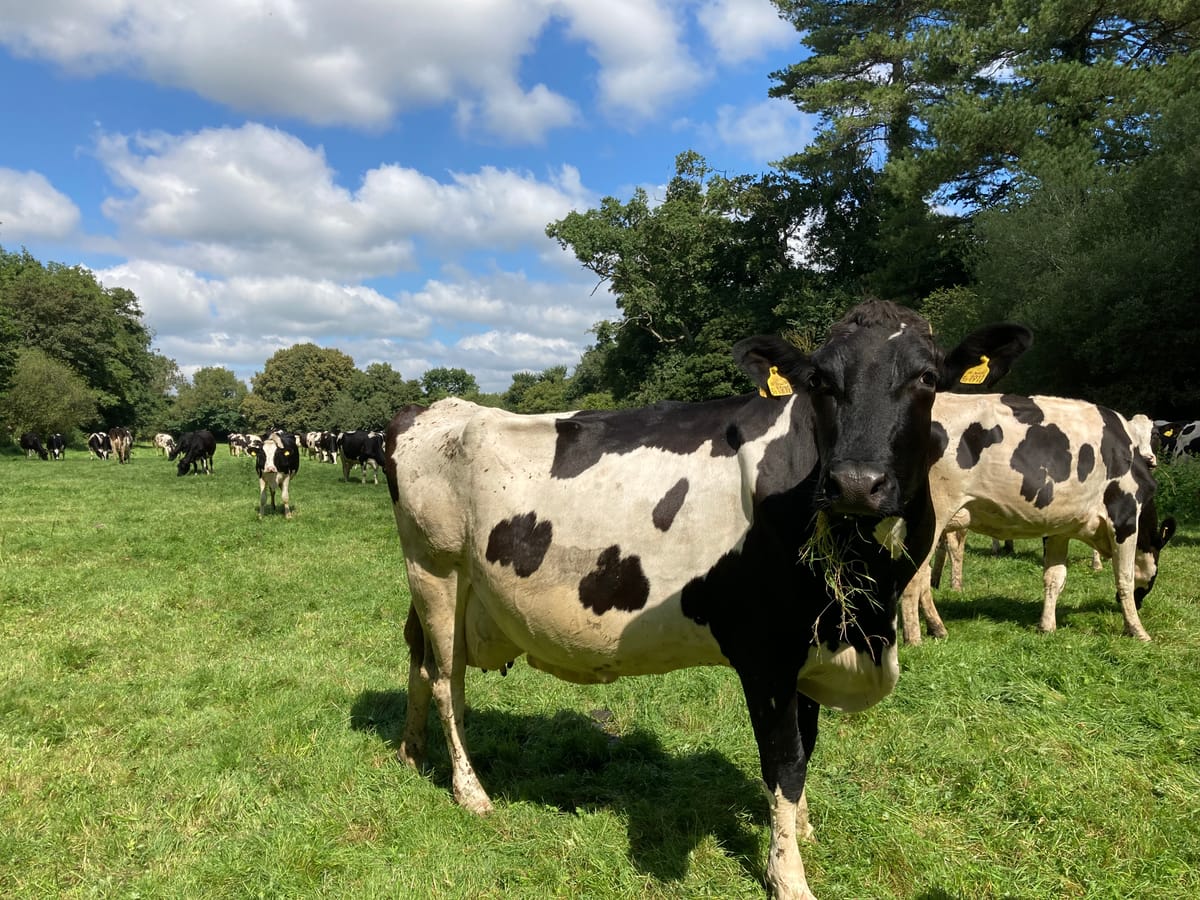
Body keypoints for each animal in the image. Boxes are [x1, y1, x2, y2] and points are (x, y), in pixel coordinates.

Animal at [384, 301, 1032, 900]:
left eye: (927, 377)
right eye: (821, 380)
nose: (856, 483)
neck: (867, 617)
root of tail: (436, 408)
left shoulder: (807, 649)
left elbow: (807, 748)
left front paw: (801, 829)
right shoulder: (766, 655)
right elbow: (784, 760)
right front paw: (788, 875)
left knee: (419, 661)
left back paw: (411, 752)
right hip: (437, 570)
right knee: (447, 681)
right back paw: (471, 791)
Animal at [901, 394, 1176, 645]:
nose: (1141, 603)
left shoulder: (1060, 528)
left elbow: (1055, 577)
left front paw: (1047, 626)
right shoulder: (1124, 519)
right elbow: (1125, 578)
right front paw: (1138, 631)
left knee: (923, 576)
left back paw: (937, 628)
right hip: (935, 517)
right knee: (914, 577)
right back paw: (914, 639)